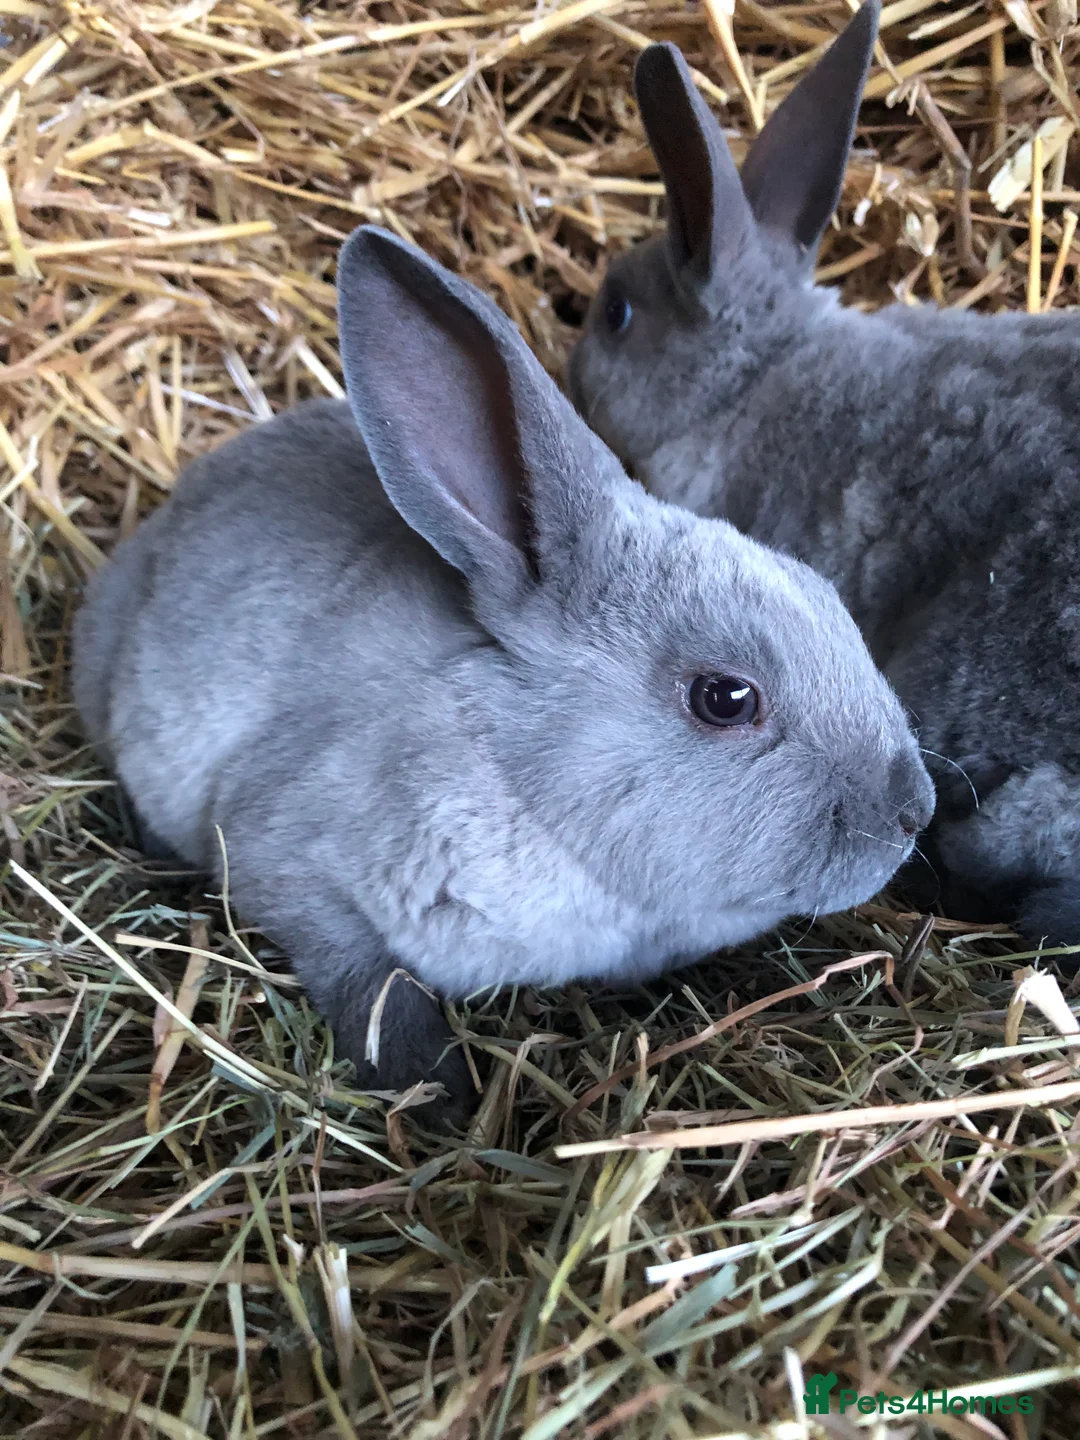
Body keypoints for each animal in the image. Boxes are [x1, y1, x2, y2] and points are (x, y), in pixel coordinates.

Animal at [73, 224, 932, 1121]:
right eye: (725, 698)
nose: (915, 812)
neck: (515, 770)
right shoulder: (283, 854)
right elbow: (370, 984)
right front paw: (437, 1092)